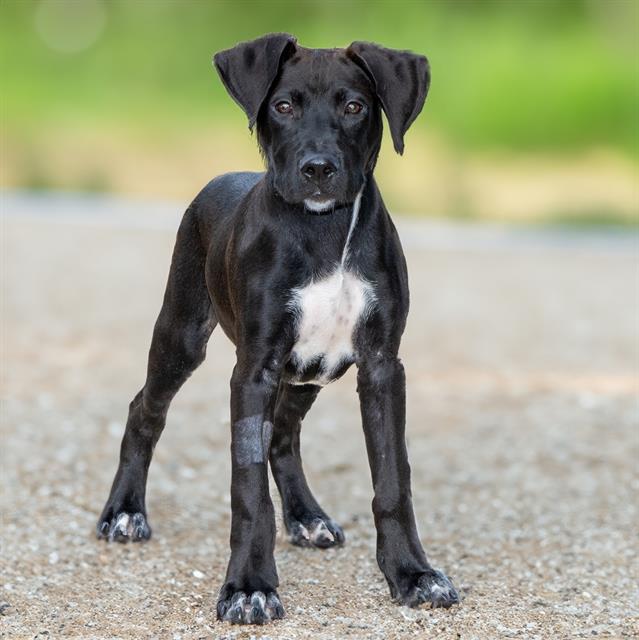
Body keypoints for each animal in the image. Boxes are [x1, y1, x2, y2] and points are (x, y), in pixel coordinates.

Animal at [96, 32, 460, 624]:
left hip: (311, 370)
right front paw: (249, 586)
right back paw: (124, 512)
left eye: (354, 107)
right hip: (182, 335)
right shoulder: (255, 369)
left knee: (284, 437)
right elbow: (248, 491)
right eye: (283, 106)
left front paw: (413, 574)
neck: (323, 230)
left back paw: (308, 517)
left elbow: (392, 482)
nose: (318, 168)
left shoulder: (382, 366)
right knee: (145, 411)